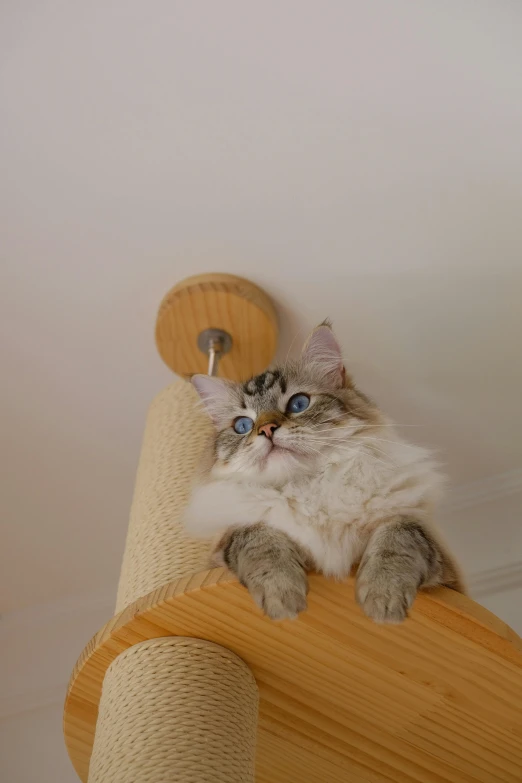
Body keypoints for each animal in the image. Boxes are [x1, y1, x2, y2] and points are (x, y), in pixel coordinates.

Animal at [184, 320, 464, 624]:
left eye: (298, 404)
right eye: (243, 426)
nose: (267, 429)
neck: (308, 487)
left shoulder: (442, 565)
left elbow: (398, 535)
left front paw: (383, 602)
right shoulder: (224, 548)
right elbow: (259, 538)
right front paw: (283, 598)